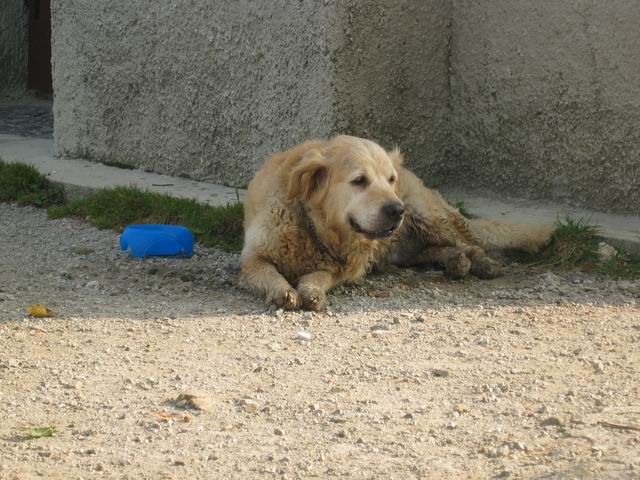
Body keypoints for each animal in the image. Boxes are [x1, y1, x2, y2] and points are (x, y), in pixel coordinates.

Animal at [242, 135, 552, 312]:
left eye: (390, 180)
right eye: (359, 180)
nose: (396, 209)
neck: (315, 227)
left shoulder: (344, 269)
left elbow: (318, 276)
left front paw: (310, 291)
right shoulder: (252, 258)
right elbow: (267, 272)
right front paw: (282, 290)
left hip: (430, 216)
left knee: (469, 242)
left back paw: (482, 263)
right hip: (401, 246)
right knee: (428, 252)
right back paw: (454, 261)